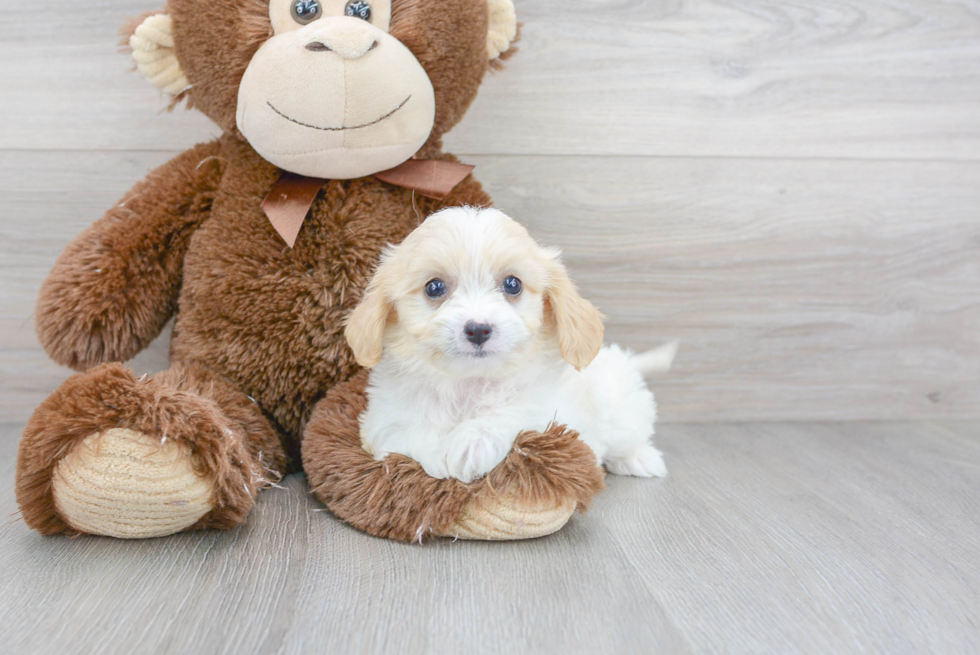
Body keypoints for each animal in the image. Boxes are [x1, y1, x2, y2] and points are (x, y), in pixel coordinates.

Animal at [344, 208, 672, 484]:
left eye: (512, 284)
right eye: (434, 287)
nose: (478, 329)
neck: (468, 383)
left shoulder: (555, 414)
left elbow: (517, 411)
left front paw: (470, 443)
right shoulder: (382, 419)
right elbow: (407, 429)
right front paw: (437, 452)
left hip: (623, 411)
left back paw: (641, 459)